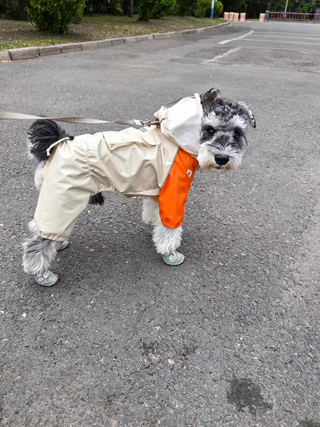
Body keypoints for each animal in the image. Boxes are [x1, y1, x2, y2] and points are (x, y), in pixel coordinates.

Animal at [21, 88, 255, 288]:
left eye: (237, 133)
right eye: (208, 129)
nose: (222, 158)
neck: (175, 138)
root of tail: (55, 144)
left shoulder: (159, 188)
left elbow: (153, 210)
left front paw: (152, 223)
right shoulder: (175, 192)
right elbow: (171, 227)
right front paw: (170, 253)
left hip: (56, 197)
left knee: (39, 225)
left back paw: (57, 244)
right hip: (64, 198)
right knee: (36, 244)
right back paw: (41, 273)